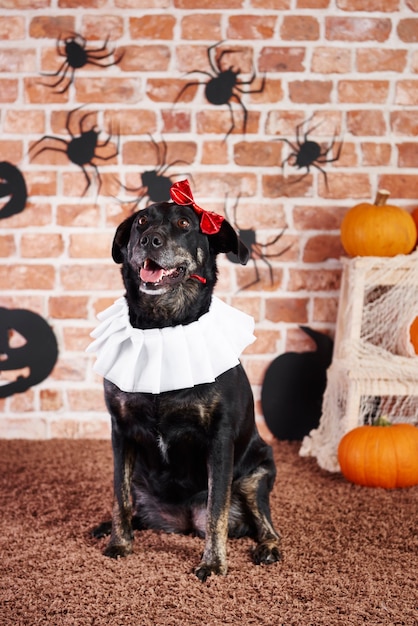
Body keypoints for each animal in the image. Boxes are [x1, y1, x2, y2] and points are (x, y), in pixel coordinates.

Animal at [90, 182, 280, 580]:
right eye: (141, 222)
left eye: (184, 224)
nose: (149, 240)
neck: (162, 327)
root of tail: (182, 523)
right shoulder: (120, 431)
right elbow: (119, 496)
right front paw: (119, 543)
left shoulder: (220, 440)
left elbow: (217, 508)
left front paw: (213, 563)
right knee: (132, 503)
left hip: (257, 474)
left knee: (264, 523)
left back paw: (268, 547)